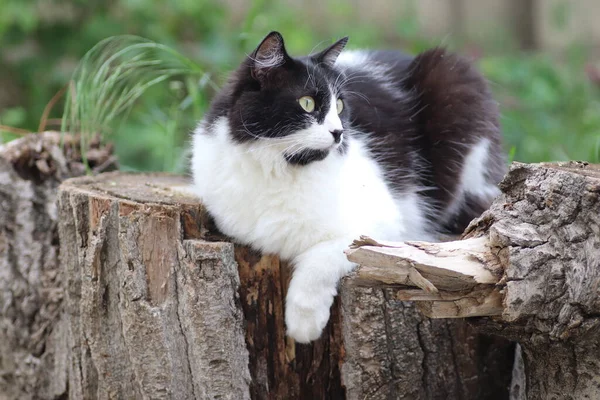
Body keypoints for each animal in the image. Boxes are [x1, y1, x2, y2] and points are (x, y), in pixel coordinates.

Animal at [191, 31, 506, 344]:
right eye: (307, 103)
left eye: (340, 106)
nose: (339, 132)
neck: (281, 170)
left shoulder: (383, 226)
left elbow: (323, 258)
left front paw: (303, 324)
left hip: (454, 78)